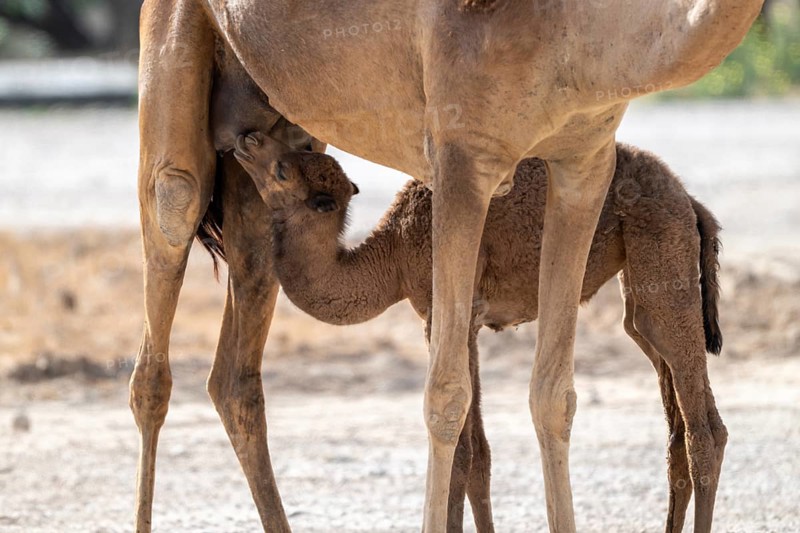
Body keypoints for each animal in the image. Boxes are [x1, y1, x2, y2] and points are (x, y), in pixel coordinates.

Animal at [228, 135, 724, 532]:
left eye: (281, 169)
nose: (247, 140)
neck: (392, 255)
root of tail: (689, 200)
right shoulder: (470, 324)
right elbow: (480, 455)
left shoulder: (446, 312)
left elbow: (463, 452)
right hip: (642, 287)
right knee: (673, 416)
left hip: (664, 253)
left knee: (704, 433)